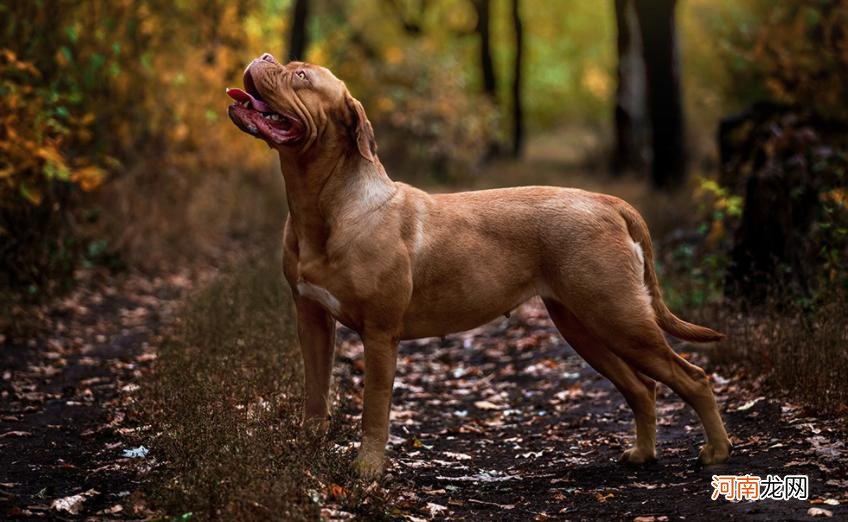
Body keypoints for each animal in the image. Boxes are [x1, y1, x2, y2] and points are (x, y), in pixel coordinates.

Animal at [225, 54, 728, 478]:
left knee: (693, 377)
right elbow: (316, 393)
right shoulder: (311, 319)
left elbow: (374, 408)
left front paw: (367, 470)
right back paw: (643, 453)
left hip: (620, 317)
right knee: (643, 388)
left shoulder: (380, 334)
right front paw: (307, 450)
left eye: (301, 76)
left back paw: (717, 451)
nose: (265, 56)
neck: (325, 207)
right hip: (583, 325)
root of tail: (608, 202)